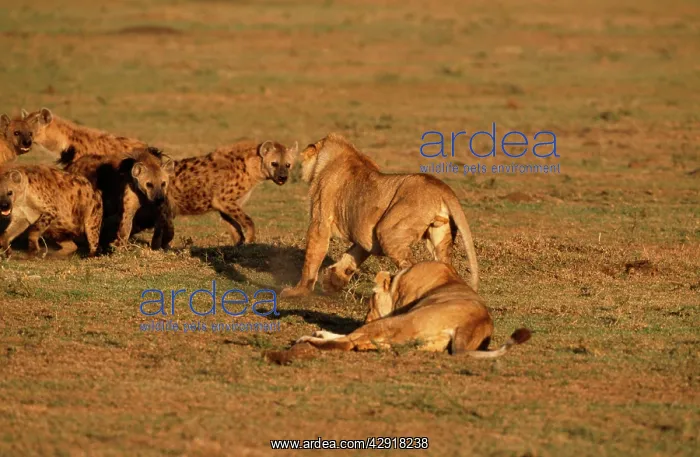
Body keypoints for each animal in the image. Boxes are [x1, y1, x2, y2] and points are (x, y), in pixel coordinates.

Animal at [280, 133, 479, 298]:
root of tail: (443, 189)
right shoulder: (366, 234)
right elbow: (351, 257)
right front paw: (332, 283)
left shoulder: (320, 222)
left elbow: (311, 259)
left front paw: (297, 292)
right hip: (440, 237)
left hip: (389, 231)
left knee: (411, 267)